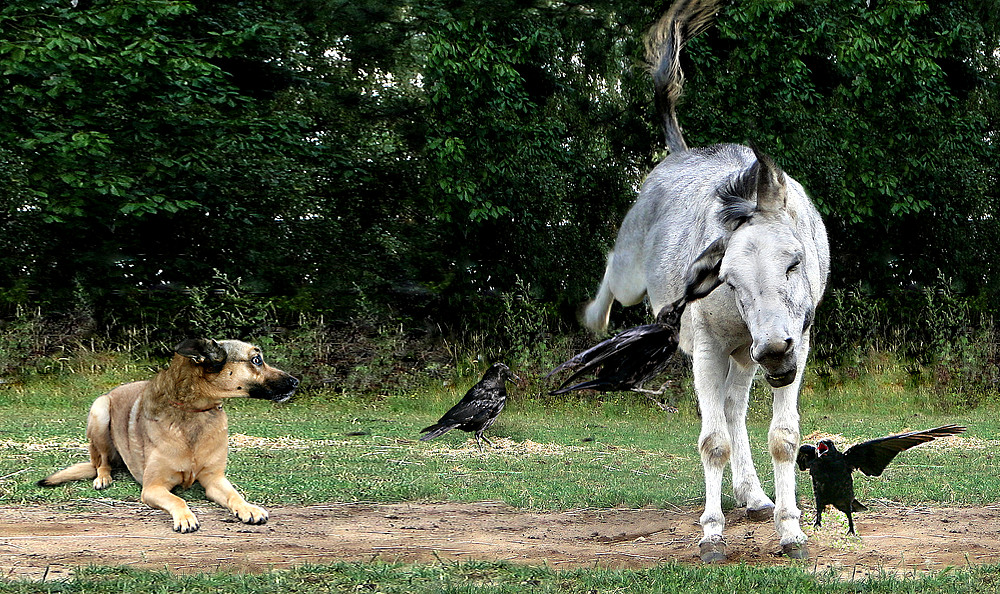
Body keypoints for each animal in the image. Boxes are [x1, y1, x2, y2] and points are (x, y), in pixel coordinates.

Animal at [39, 338, 296, 532]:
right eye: (256, 360)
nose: (296, 381)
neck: (194, 412)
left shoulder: (214, 480)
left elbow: (235, 495)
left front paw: (248, 507)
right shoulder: (153, 488)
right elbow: (177, 498)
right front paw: (185, 517)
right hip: (99, 411)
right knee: (101, 461)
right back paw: (103, 477)